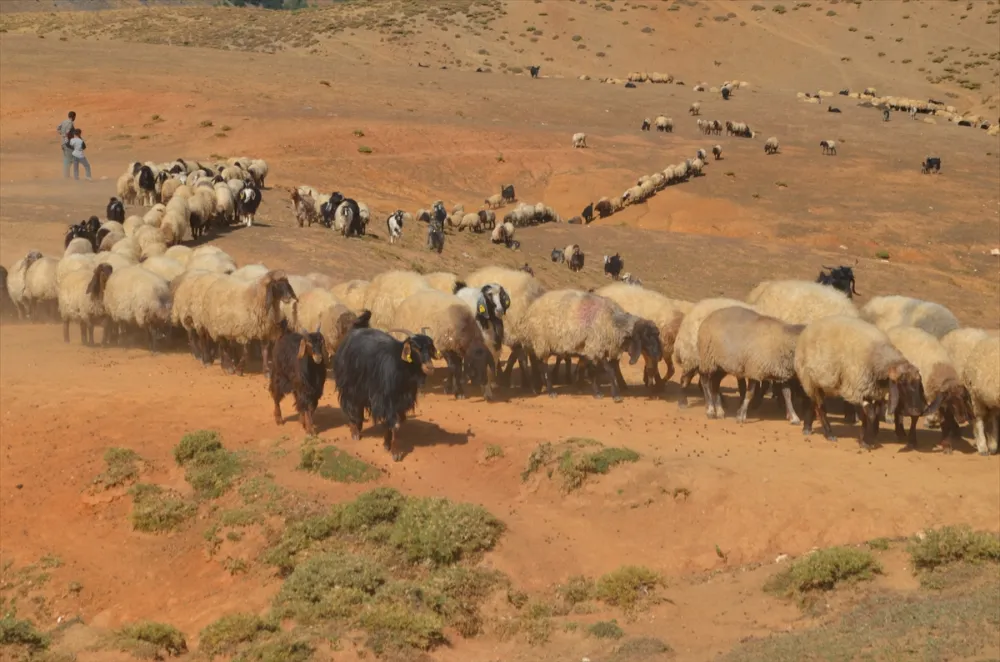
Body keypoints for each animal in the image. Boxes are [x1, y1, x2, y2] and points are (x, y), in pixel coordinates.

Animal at [334, 326, 436, 462]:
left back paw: (359, 426)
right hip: (349, 384)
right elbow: (395, 424)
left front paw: (387, 444)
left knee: (359, 406)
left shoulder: (401, 402)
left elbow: (395, 422)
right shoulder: (386, 399)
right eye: (415, 347)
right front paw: (396, 453)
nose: (429, 367)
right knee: (350, 404)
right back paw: (355, 431)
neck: (401, 365)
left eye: (430, 348)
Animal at [792, 316, 924, 452]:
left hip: (817, 383)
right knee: (820, 407)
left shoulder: (874, 392)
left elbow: (871, 416)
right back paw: (829, 434)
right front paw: (866, 442)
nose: (917, 411)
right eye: (902, 382)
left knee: (812, 402)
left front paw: (865, 439)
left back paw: (807, 428)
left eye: (918, 383)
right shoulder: (858, 390)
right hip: (809, 380)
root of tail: (808, 328)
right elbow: (870, 415)